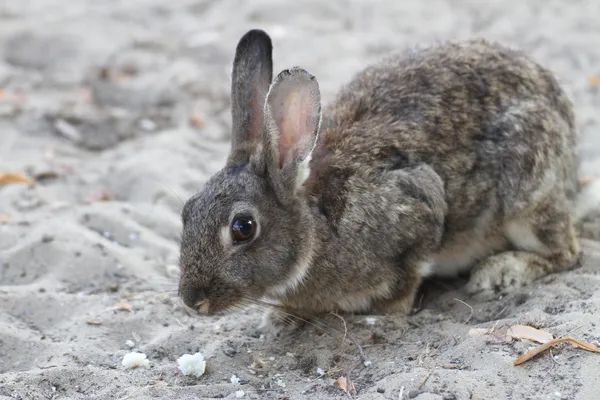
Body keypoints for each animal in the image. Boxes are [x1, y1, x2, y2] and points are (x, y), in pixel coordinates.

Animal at [177, 28, 584, 334]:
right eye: (186, 211)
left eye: (243, 227)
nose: (192, 301)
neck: (315, 229)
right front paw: (281, 317)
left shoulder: (418, 208)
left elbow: (406, 278)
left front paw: (381, 311)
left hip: (525, 192)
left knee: (565, 252)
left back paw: (498, 273)